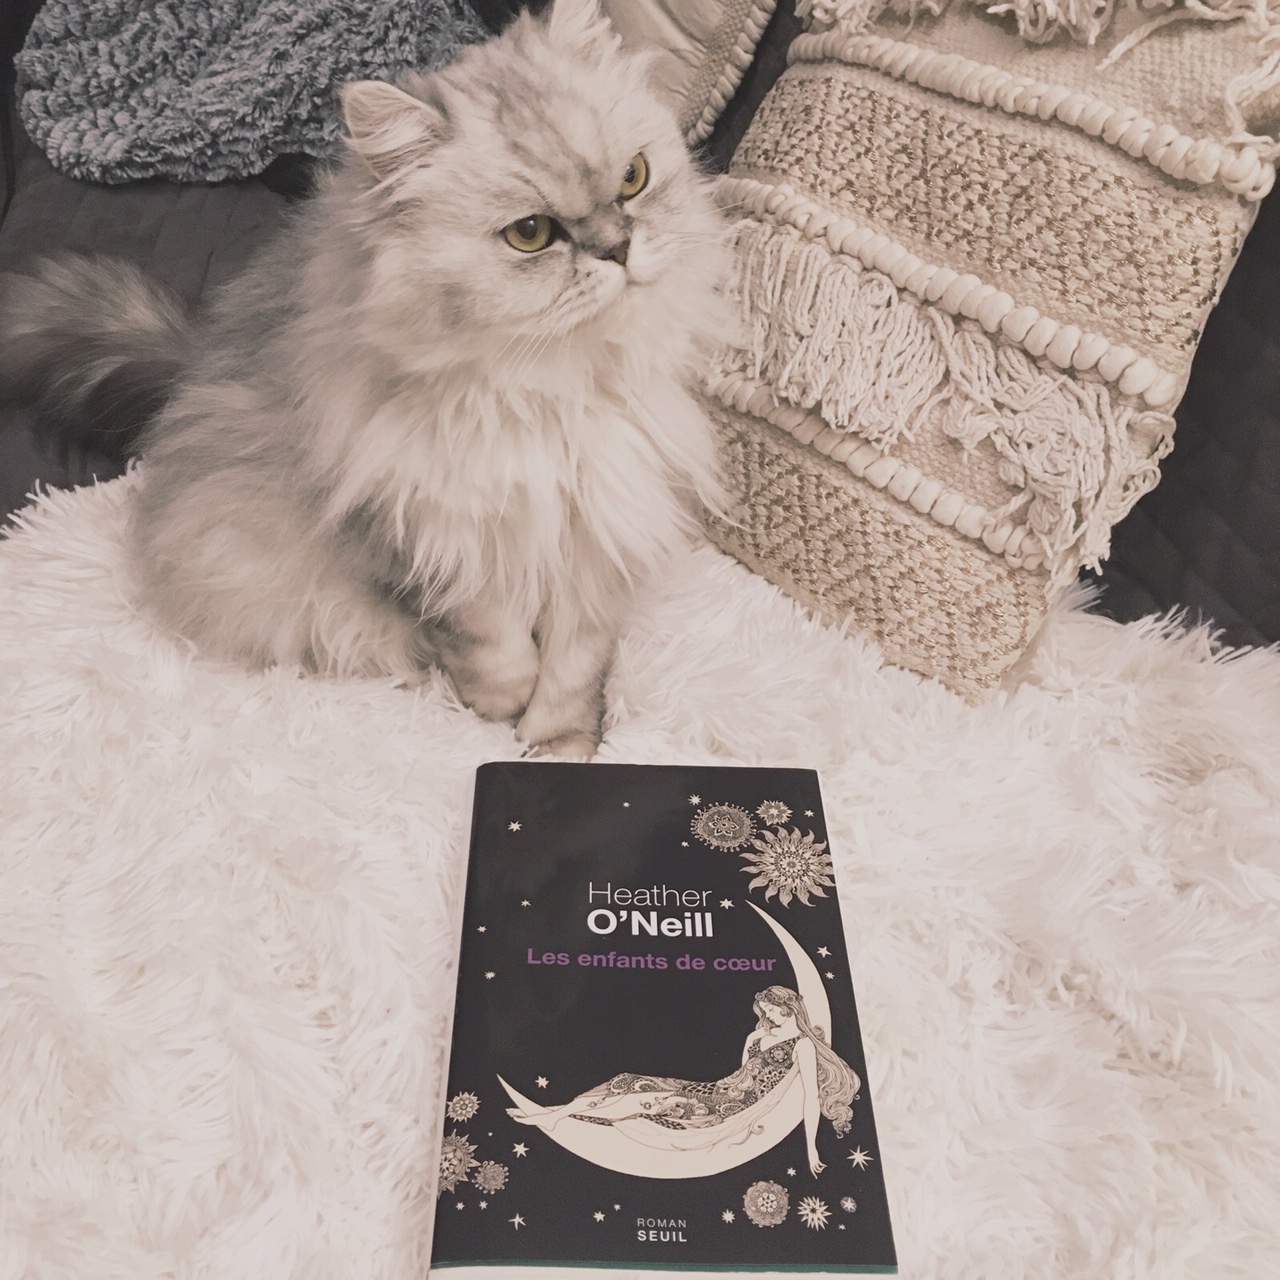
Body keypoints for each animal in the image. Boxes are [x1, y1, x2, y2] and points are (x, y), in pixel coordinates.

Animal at [0, 0, 730, 759]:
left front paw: (559, 746)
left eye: (633, 178)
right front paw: (498, 709)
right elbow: (492, 645)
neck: (553, 394)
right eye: (530, 234)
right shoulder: (425, 540)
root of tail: (195, 359)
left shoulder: (601, 529)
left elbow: (574, 666)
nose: (619, 248)